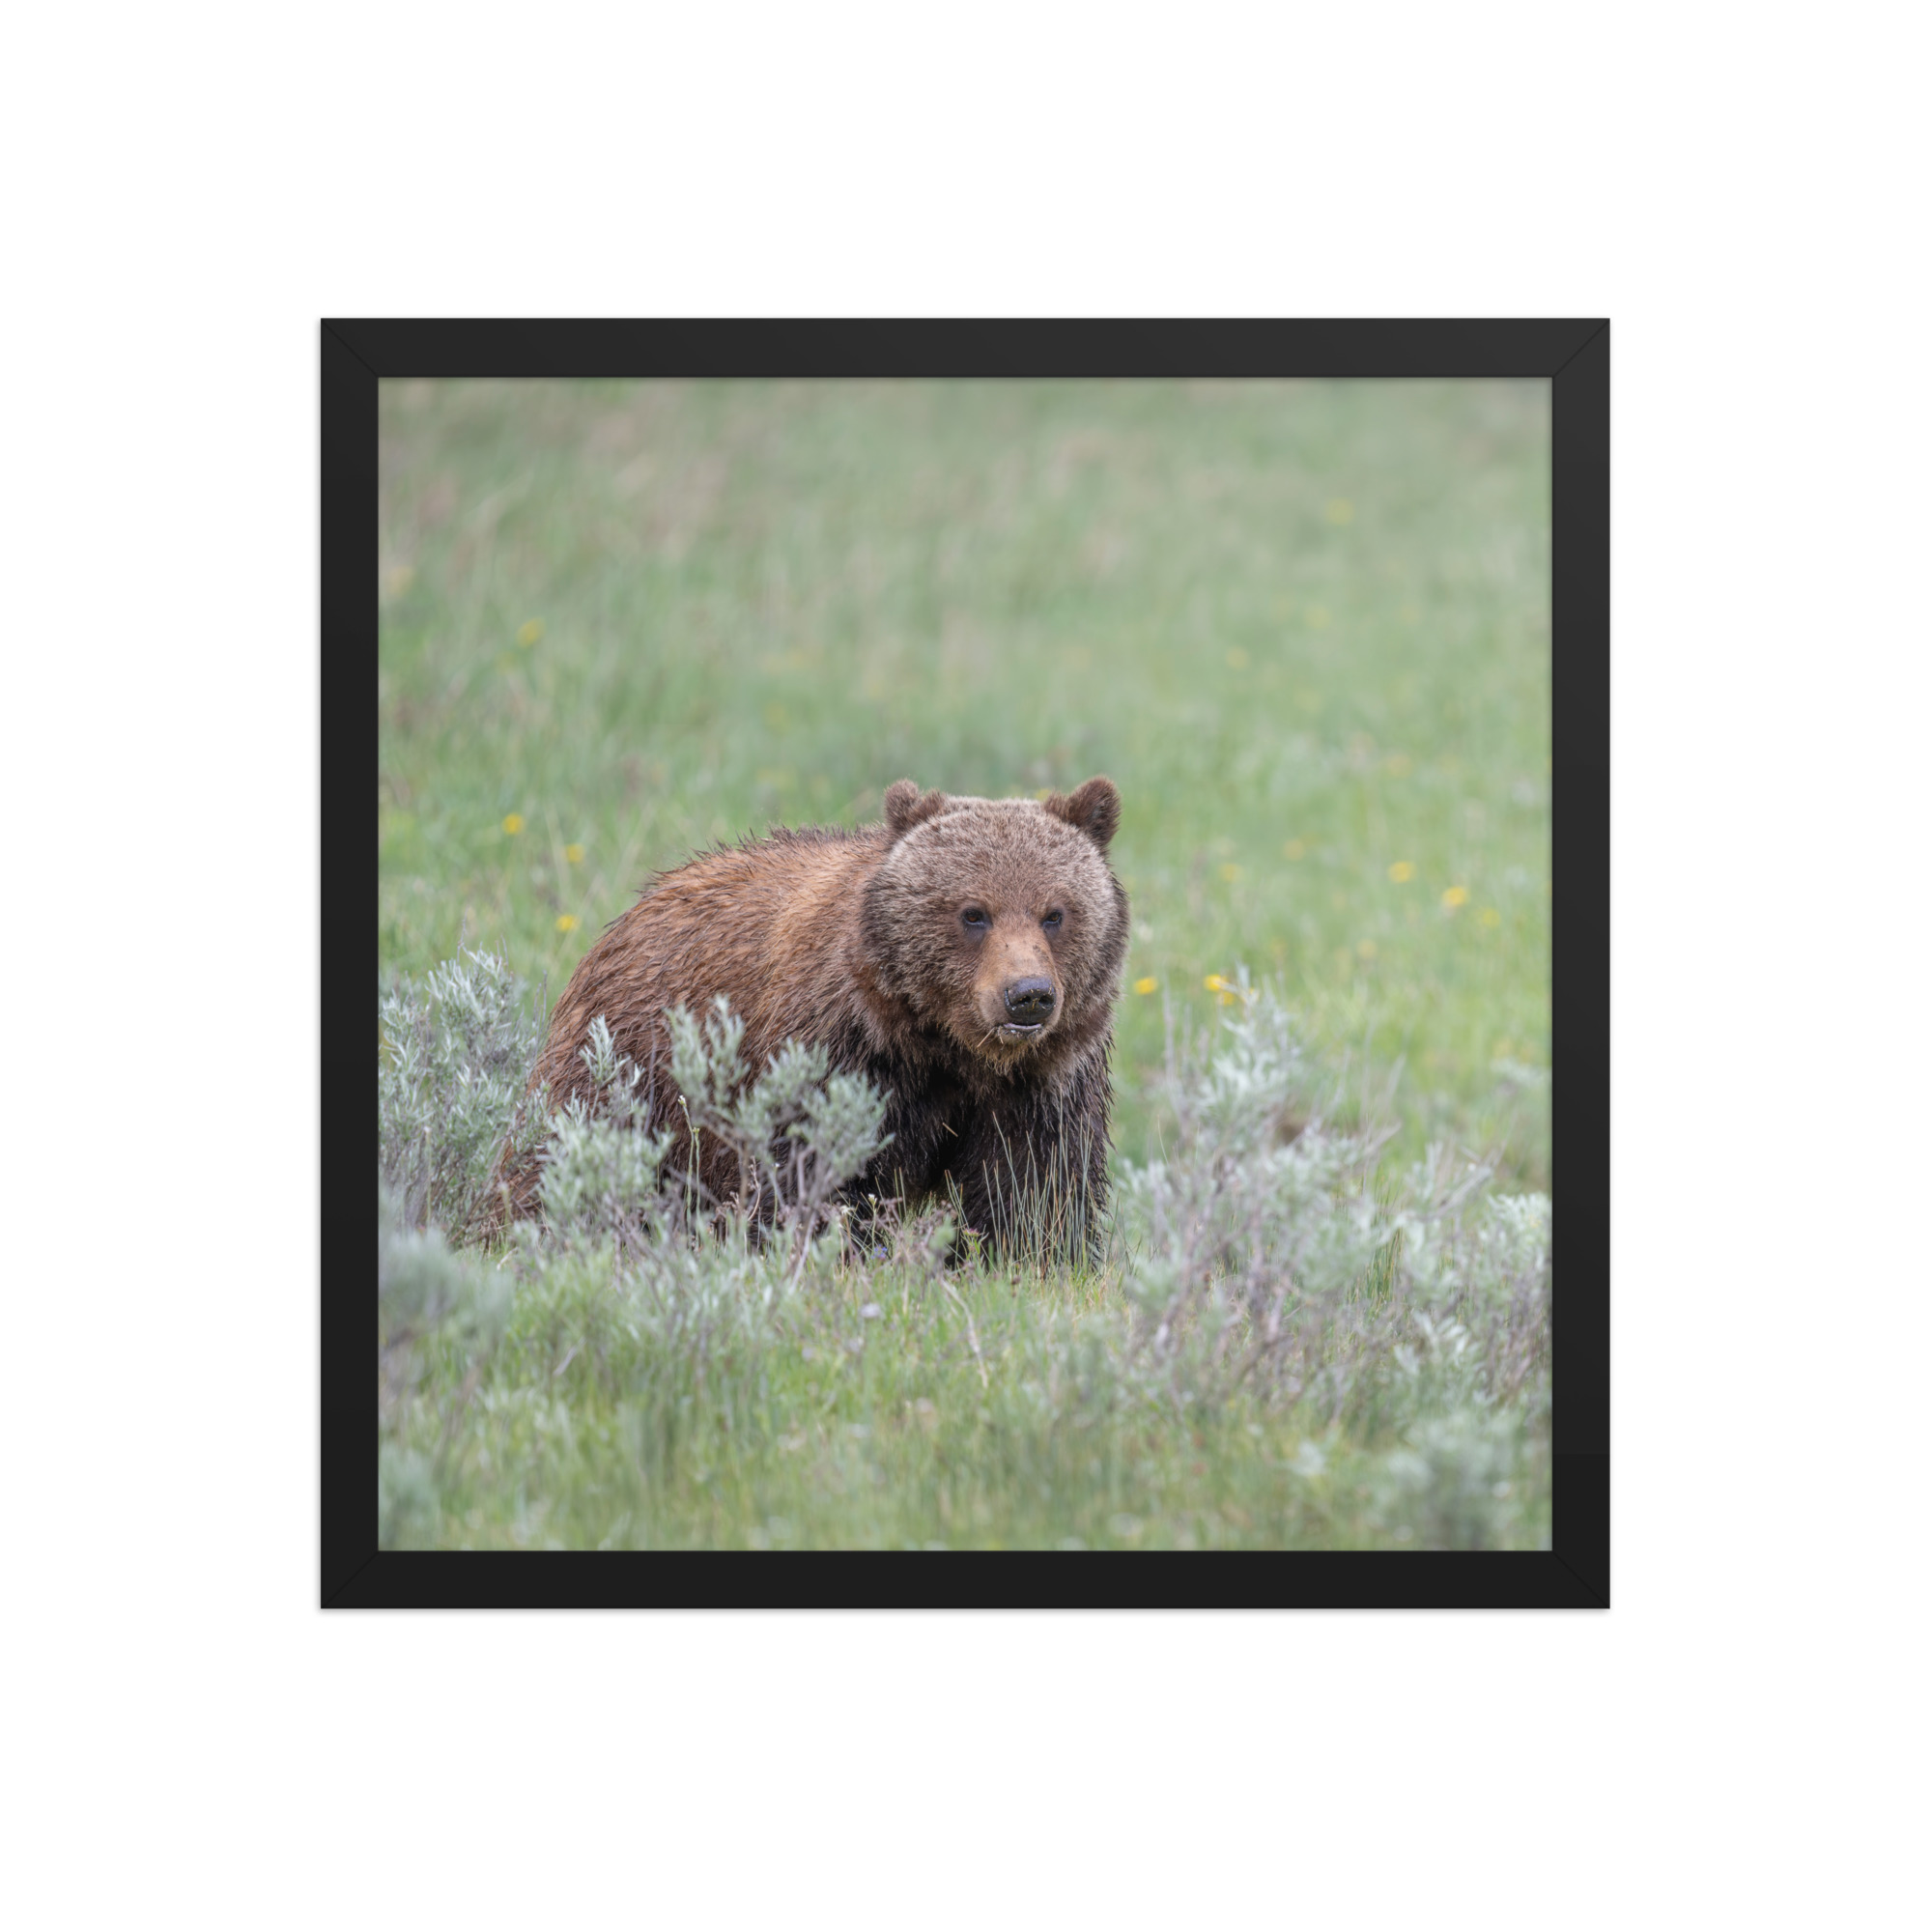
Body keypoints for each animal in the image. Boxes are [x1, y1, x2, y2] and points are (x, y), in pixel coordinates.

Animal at [496, 775, 1129, 1259]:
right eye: (973, 913)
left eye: (1055, 913)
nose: (1028, 995)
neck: (945, 1046)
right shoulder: (839, 1053)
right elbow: (807, 1173)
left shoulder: (1042, 1082)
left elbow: (1033, 1190)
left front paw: (1025, 1260)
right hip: (629, 1063)